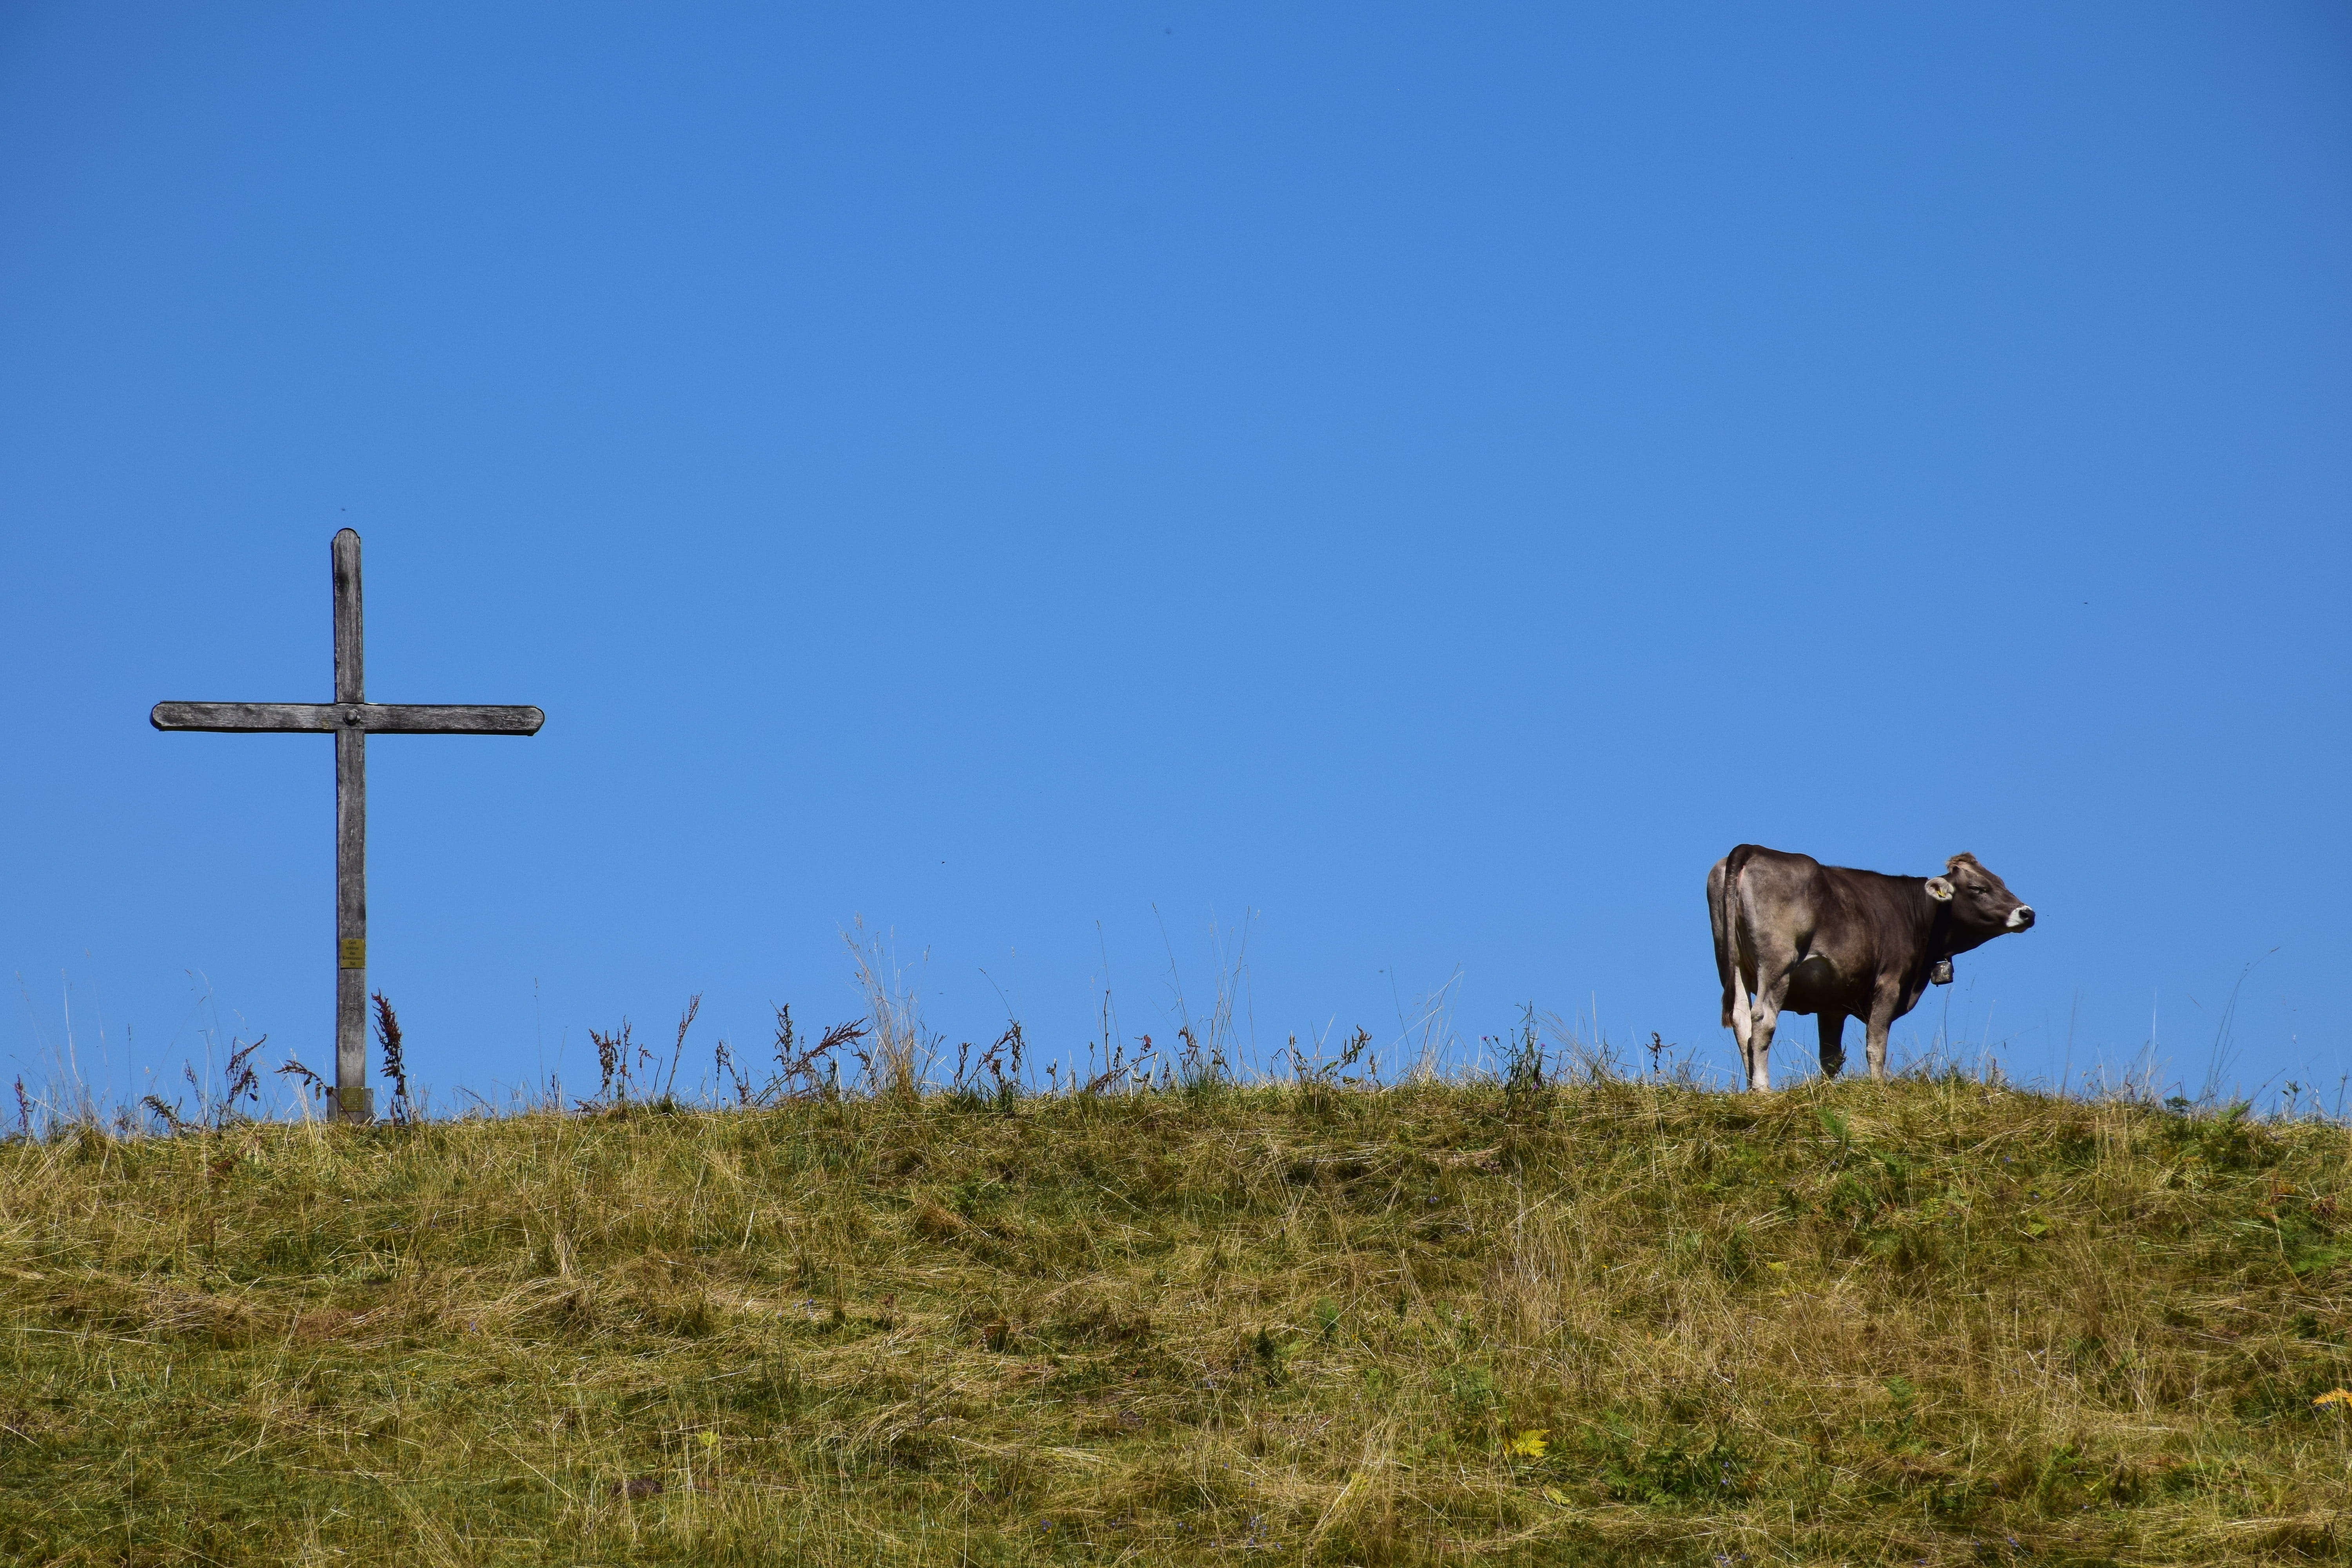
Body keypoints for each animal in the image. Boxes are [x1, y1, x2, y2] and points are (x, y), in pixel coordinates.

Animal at [1707, 845, 2034, 1093]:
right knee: (1763, 1019)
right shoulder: (1890, 983)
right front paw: (1879, 1088)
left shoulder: (1832, 1003)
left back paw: (1751, 1089)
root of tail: (1753, 848)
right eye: (1979, 888)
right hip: (1777, 963)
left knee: (1741, 1020)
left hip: (1731, 963)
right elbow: (1876, 1044)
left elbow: (1830, 1057)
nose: (2027, 913)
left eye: (2002, 882)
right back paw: (1763, 1090)